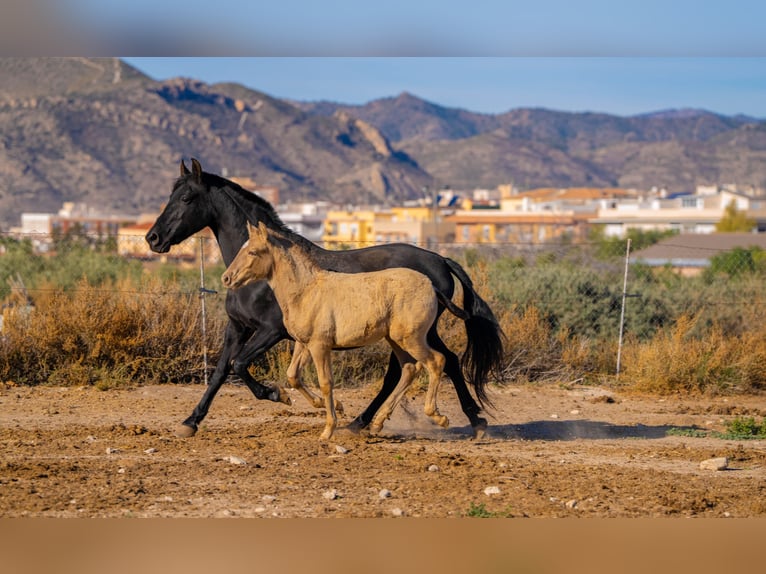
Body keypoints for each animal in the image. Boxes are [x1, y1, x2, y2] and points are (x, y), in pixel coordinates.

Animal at [145, 158, 508, 436]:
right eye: (171, 195)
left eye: (187, 198)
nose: (153, 238)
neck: (268, 279)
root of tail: (440, 260)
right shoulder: (238, 327)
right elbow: (222, 370)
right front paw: (191, 421)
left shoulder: (271, 331)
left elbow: (240, 364)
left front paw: (279, 395)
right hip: (407, 332)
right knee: (428, 364)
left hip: (416, 330)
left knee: (432, 363)